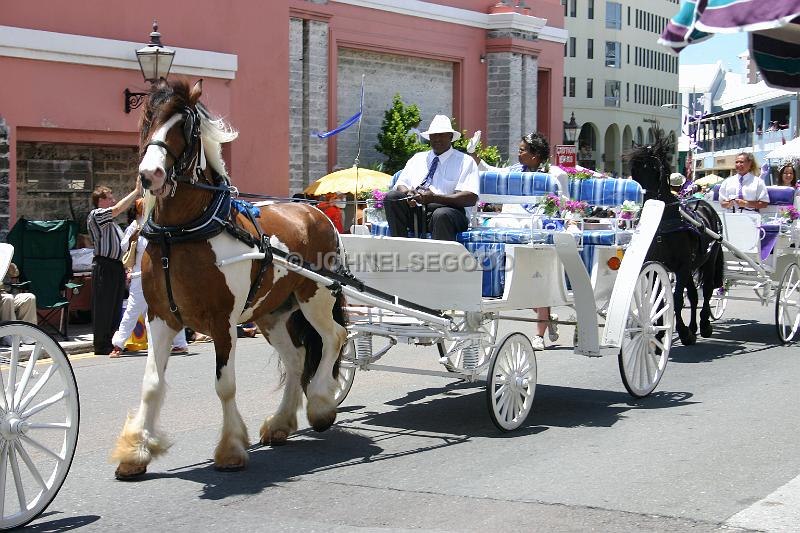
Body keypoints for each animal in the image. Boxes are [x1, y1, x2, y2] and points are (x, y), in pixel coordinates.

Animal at [111, 79, 346, 478]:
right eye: (148, 119)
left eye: (186, 128)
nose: (149, 174)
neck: (183, 232)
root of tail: (316, 212)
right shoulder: (160, 317)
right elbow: (152, 384)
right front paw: (137, 450)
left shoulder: (222, 322)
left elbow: (225, 386)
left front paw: (231, 448)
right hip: (272, 314)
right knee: (298, 357)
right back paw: (281, 422)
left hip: (315, 298)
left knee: (335, 337)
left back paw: (320, 403)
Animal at [624, 129, 724, 344]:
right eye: (635, 171)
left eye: (656, 169)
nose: (648, 204)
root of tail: (706, 206)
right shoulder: (657, 264)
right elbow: (660, 300)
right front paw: (661, 332)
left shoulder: (683, 266)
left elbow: (677, 298)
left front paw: (682, 332)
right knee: (694, 295)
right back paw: (694, 327)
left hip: (708, 260)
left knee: (707, 289)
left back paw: (704, 325)